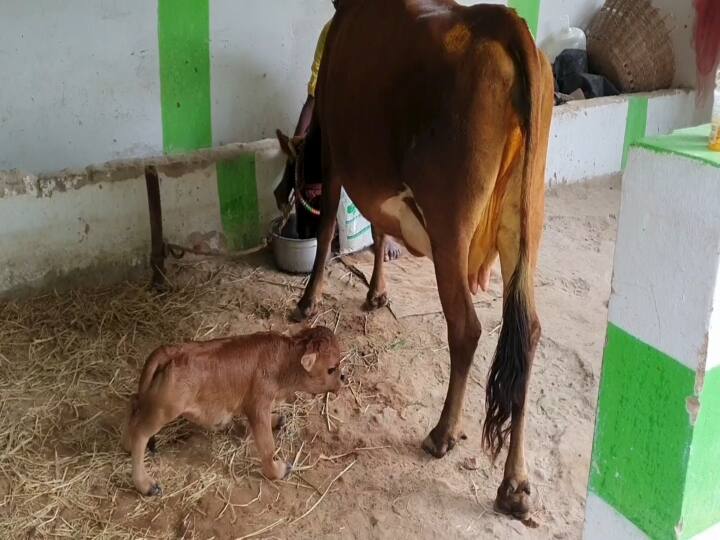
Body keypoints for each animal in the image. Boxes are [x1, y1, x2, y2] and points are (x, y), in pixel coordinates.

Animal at [276, 0, 552, 520]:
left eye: (291, 164)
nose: (281, 193)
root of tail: (499, 20)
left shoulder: (338, 156)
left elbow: (328, 231)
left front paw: (308, 300)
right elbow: (379, 228)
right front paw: (377, 293)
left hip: (451, 226)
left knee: (466, 328)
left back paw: (442, 433)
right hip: (525, 221)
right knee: (526, 335)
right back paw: (515, 484)